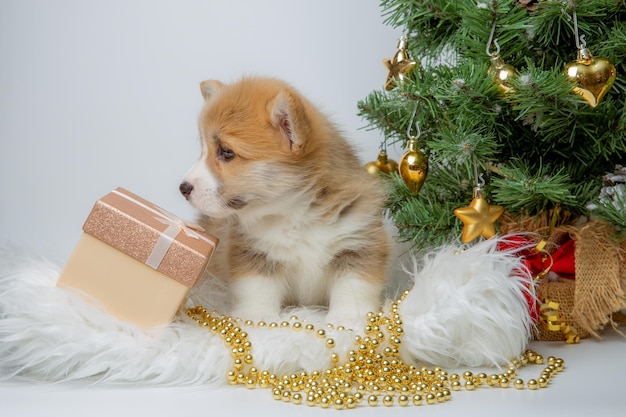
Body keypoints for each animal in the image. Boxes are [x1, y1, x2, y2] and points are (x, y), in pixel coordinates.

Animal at [178, 78, 388, 324]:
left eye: (227, 152)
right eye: (203, 151)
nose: (183, 188)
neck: (295, 213)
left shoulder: (357, 243)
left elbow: (353, 288)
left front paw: (349, 318)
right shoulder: (254, 254)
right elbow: (257, 289)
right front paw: (257, 317)